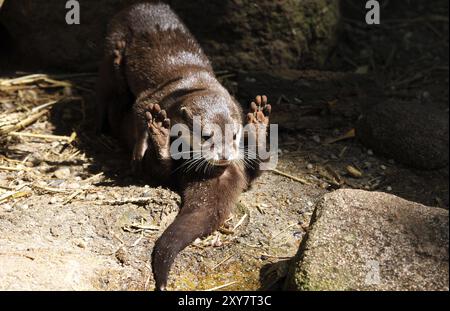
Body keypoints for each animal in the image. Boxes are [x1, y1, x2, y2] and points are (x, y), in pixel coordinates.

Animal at [97, 2, 272, 292]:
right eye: (206, 135)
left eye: (235, 135)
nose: (225, 155)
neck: (190, 83)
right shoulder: (149, 101)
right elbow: (139, 118)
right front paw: (139, 147)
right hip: (113, 46)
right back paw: (155, 132)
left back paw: (258, 122)